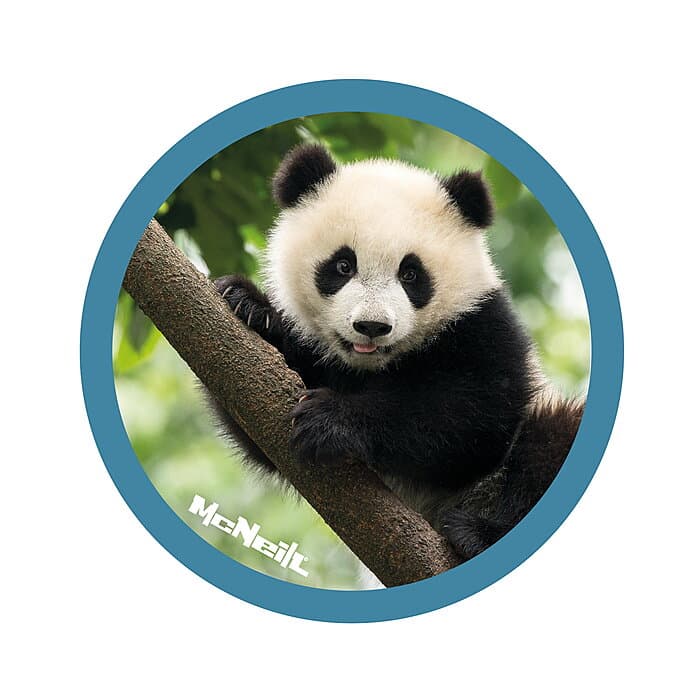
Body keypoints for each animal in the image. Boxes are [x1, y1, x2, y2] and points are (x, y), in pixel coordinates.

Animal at [210, 143, 584, 563]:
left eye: (411, 274)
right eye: (343, 265)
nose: (371, 326)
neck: (373, 365)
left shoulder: (483, 325)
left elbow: (474, 415)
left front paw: (331, 419)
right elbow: (259, 425)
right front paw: (250, 306)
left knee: (550, 440)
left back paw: (475, 533)